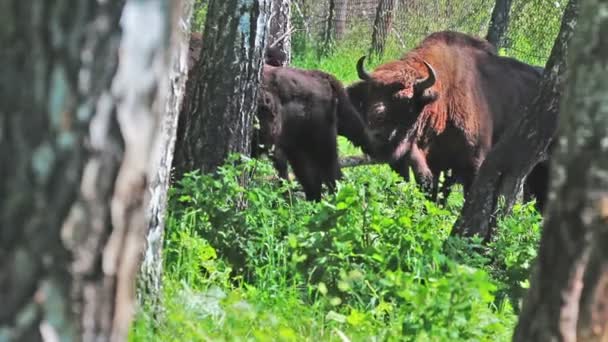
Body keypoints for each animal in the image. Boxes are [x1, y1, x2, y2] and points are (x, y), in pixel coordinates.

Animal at [350, 30, 544, 202]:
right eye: (370, 93)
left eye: (404, 99)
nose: (375, 127)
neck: (442, 99)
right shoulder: (433, 164)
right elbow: (432, 192)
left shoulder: (474, 163)